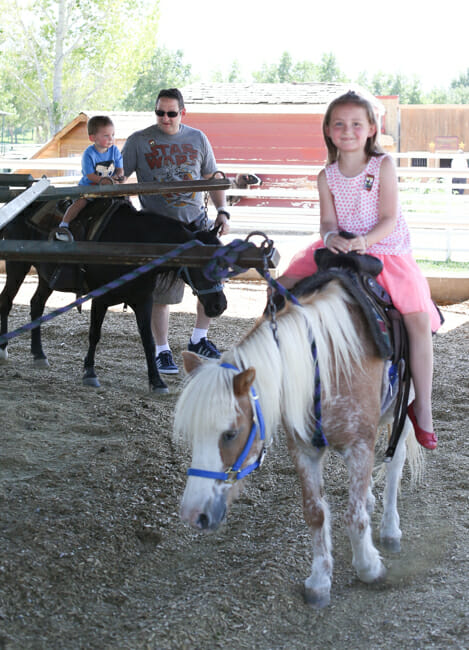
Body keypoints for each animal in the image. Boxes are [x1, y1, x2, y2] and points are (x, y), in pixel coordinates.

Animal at [0, 199, 227, 394]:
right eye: (201, 263)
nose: (219, 305)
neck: (132, 245)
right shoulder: (100, 298)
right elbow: (94, 334)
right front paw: (90, 373)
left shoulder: (143, 300)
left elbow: (148, 340)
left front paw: (156, 381)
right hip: (17, 266)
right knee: (7, 301)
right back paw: (3, 349)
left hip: (46, 277)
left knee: (36, 304)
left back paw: (39, 354)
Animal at [173, 278, 423, 607]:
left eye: (230, 433)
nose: (192, 515)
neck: (326, 369)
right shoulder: (305, 452)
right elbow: (315, 514)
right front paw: (319, 581)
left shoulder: (358, 446)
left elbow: (354, 516)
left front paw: (368, 567)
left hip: (403, 412)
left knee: (395, 466)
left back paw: (390, 529)